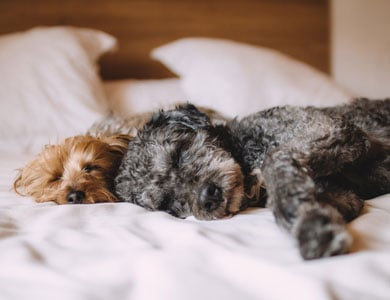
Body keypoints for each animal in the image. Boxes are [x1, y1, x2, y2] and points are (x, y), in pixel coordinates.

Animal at [115, 99, 390, 258]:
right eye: (168, 204)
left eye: (178, 155)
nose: (207, 198)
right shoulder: (344, 194)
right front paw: (309, 215)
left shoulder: (331, 129)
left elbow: (275, 160)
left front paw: (311, 228)